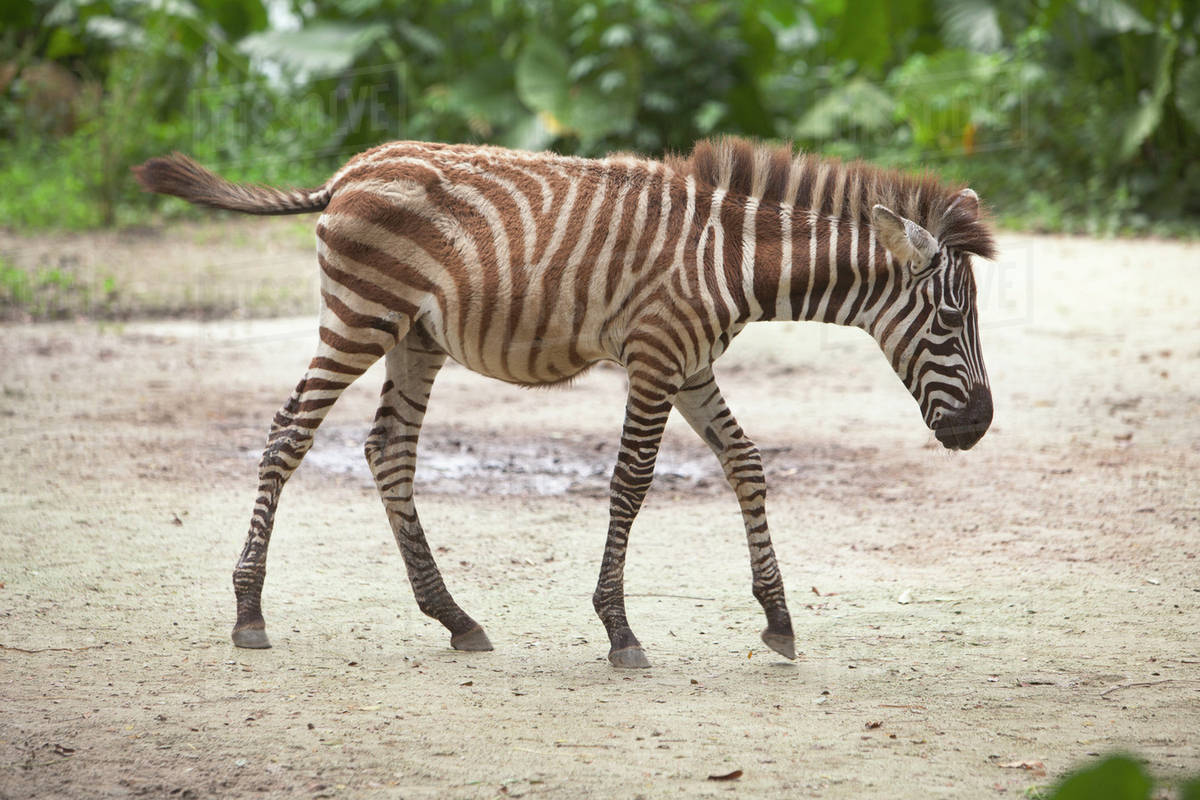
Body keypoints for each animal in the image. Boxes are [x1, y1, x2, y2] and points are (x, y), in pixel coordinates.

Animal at [134, 137, 996, 669]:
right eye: (951, 321)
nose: (979, 426)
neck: (732, 260)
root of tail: (349, 173)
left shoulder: (690, 367)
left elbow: (747, 465)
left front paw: (778, 620)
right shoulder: (655, 359)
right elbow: (632, 483)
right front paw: (618, 627)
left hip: (414, 337)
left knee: (388, 453)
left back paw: (454, 617)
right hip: (359, 317)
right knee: (288, 433)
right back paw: (249, 611)